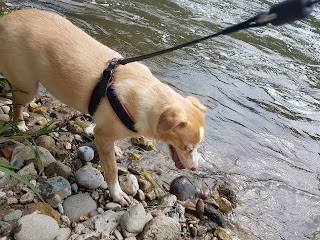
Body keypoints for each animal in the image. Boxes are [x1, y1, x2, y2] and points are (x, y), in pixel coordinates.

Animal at [0, 8, 206, 204]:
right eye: (187, 148)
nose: (195, 168)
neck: (147, 93)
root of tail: (6, 19)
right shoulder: (104, 135)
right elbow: (112, 169)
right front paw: (116, 193)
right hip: (27, 87)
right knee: (17, 105)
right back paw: (19, 125)